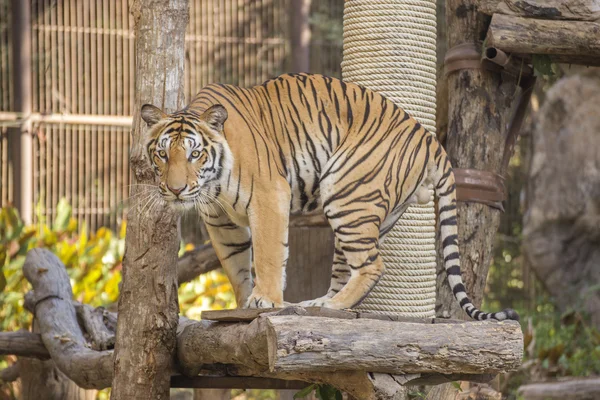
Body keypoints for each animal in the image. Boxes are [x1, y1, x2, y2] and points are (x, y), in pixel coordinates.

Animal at [142, 72, 520, 322]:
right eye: (162, 155)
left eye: (194, 154)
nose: (175, 189)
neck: (212, 185)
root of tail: (431, 141)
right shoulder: (220, 221)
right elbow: (236, 266)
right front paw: (242, 303)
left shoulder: (268, 195)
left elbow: (267, 255)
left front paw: (265, 300)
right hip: (362, 213)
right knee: (348, 269)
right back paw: (316, 303)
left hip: (345, 194)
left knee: (372, 265)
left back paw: (329, 307)